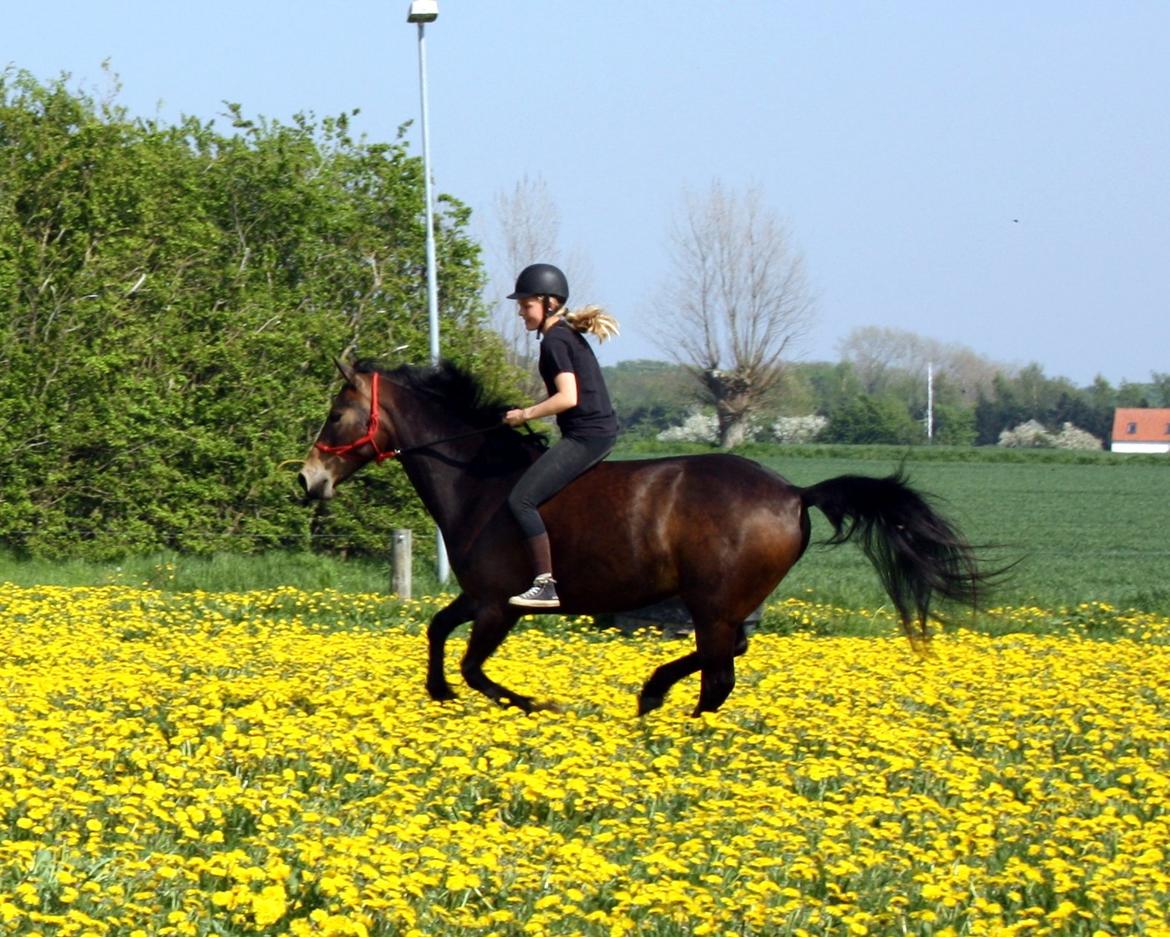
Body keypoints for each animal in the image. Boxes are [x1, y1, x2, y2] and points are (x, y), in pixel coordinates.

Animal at [301, 362, 996, 711]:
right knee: (729, 655)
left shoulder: (501, 606)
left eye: (336, 414)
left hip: (711, 604)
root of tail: (794, 493)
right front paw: (439, 691)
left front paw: (533, 706)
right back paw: (655, 692)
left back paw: (674, 718)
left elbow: (474, 667)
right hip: (722, 604)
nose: (308, 479)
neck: (480, 481)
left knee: (720, 675)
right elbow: (437, 631)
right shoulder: (478, 598)